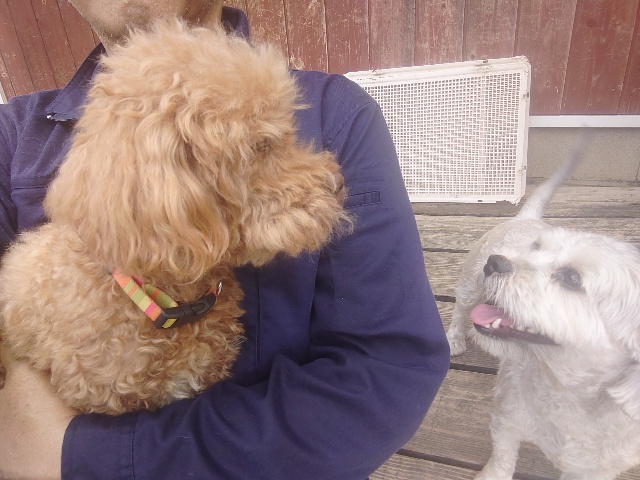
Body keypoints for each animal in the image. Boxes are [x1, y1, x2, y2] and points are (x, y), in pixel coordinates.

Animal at [447, 137, 640, 479]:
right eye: (536, 248)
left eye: (572, 278)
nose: (495, 262)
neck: (567, 390)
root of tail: (526, 218)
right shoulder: (507, 420)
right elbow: (502, 459)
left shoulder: (592, 469)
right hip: (470, 286)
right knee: (459, 311)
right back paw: (455, 338)